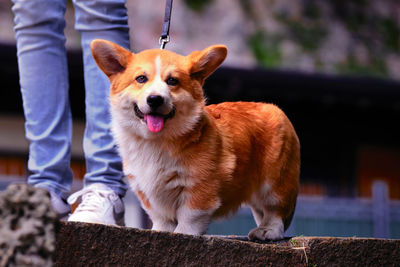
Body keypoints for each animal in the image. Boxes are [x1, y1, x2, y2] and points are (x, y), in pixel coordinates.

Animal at [91, 39, 300, 241]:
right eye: (141, 79)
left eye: (172, 81)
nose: (155, 99)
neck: (157, 140)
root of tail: (274, 108)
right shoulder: (146, 189)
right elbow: (160, 217)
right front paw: (161, 231)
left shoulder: (200, 186)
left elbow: (190, 216)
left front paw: (183, 233)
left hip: (274, 182)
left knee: (274, 210)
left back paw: (268, 230)